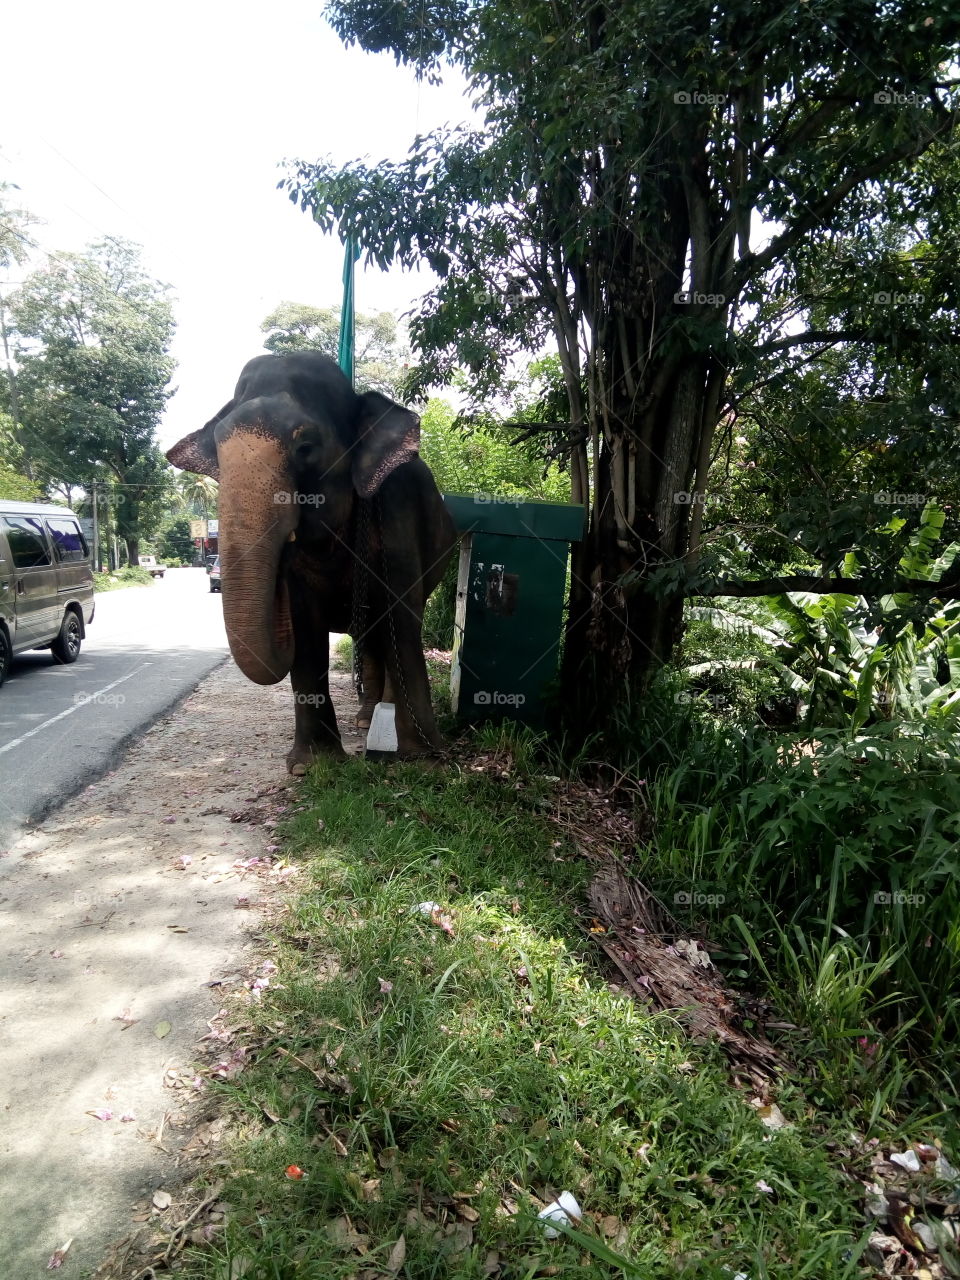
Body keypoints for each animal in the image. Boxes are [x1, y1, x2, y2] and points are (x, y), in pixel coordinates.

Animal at [166, 352, 457, 774]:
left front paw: (423, 760)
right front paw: (312, 767)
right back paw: (366, 719)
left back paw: (376, 720)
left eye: (305, 447)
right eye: (217, 453)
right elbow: (306, 629)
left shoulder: (397, 515)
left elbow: (401, 621)